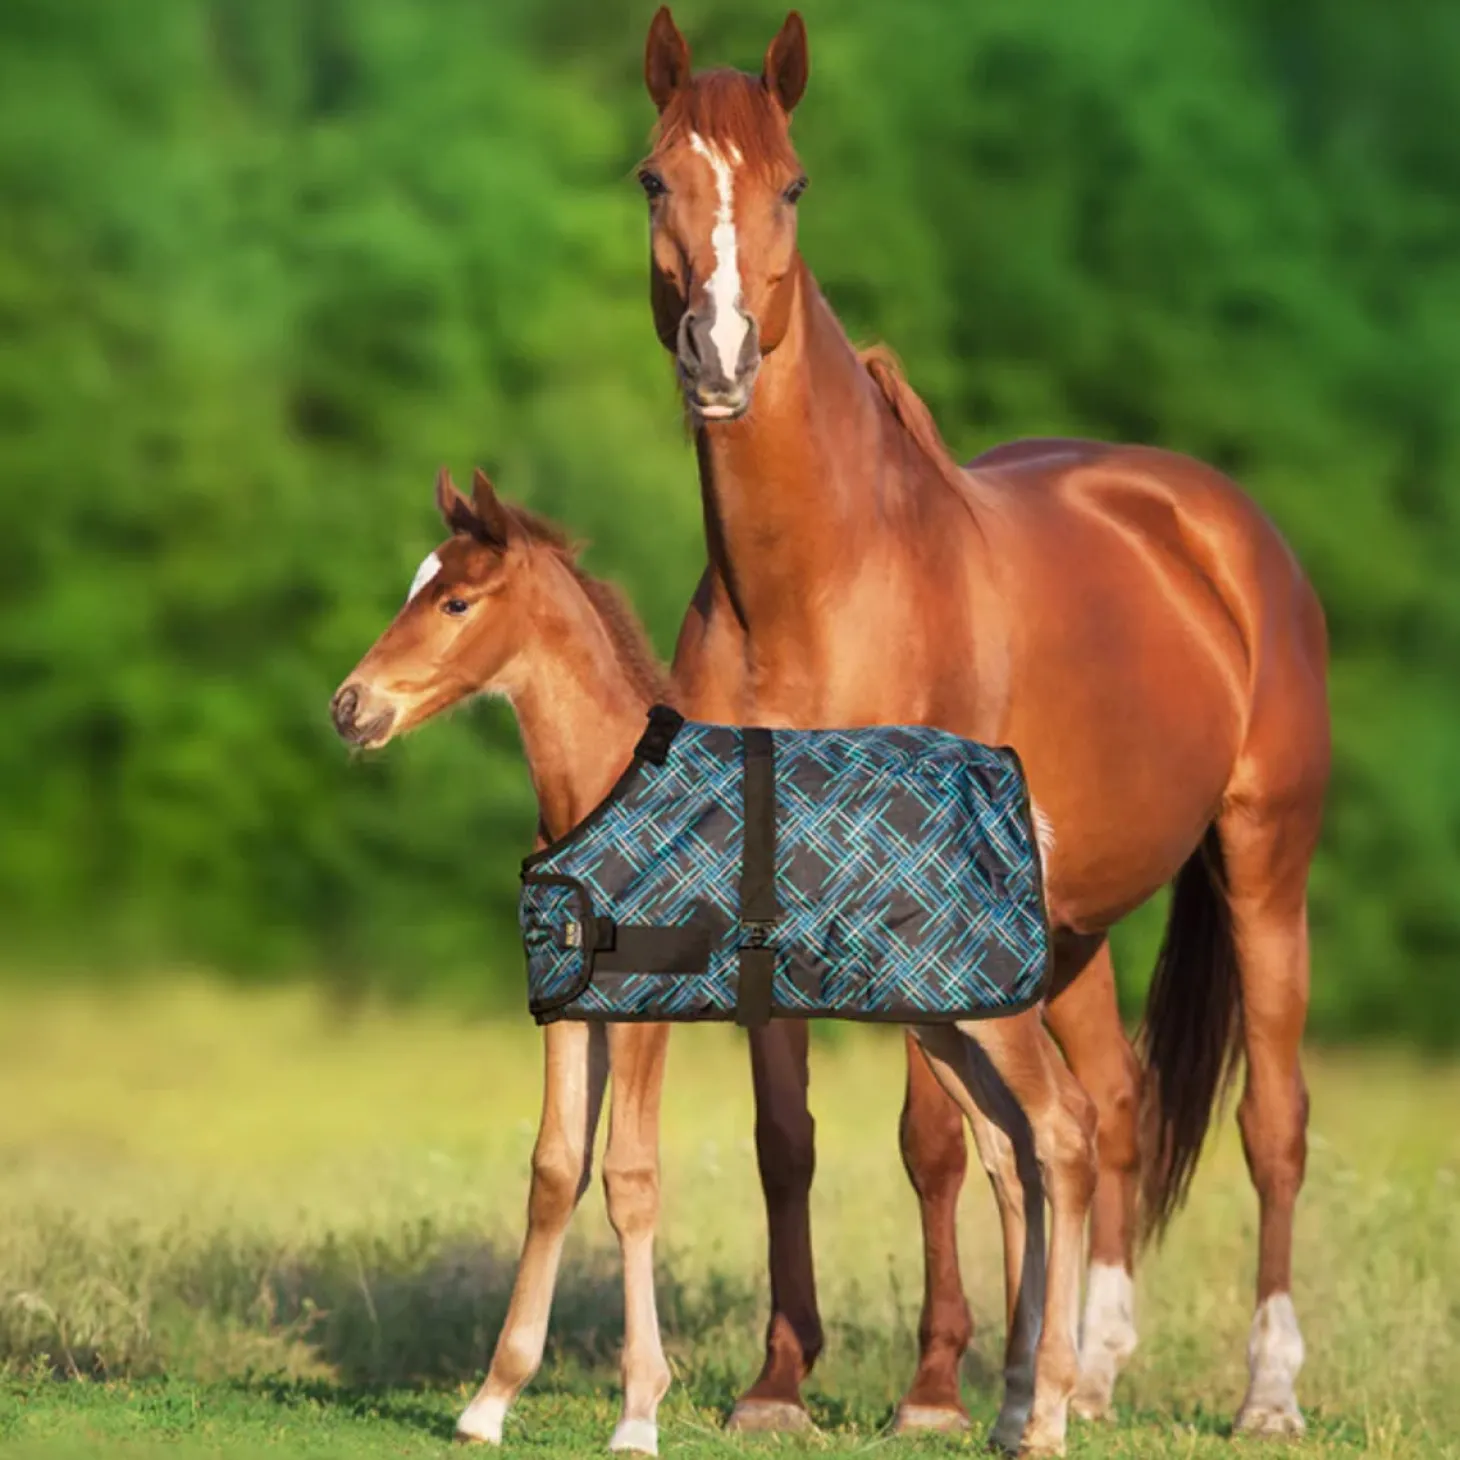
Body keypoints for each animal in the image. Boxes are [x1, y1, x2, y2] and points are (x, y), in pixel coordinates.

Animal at [331, 468, 1098, 1456]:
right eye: (414, 588)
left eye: (455, 601)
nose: (351, 708)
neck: (604, 786)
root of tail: (1023, 809)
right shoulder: (569, 1012)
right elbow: (553, 1174)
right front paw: (489, 1402)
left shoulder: (645, 1013)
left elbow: (629, 1180)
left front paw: (639, 1412)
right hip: (941, 1019)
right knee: (1012, 1153)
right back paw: (1010, 1410)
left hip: (991, 1014)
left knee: (1065, 1132)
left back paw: (1050, 1412)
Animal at [639, 6, 1330, 1448]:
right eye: (652, 179)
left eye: (792, 186)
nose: (720, 358)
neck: (817, 589)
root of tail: (1216, 526)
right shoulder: (767, 896)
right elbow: (788, 1139)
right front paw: (779, 1385)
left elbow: (933, 1139)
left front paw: (933, 1390)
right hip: (1070, 928)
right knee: (1110, 1109)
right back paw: (1096, 1368)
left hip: (1264, 863)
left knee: (1273, 1123)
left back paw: (1266, 1392)